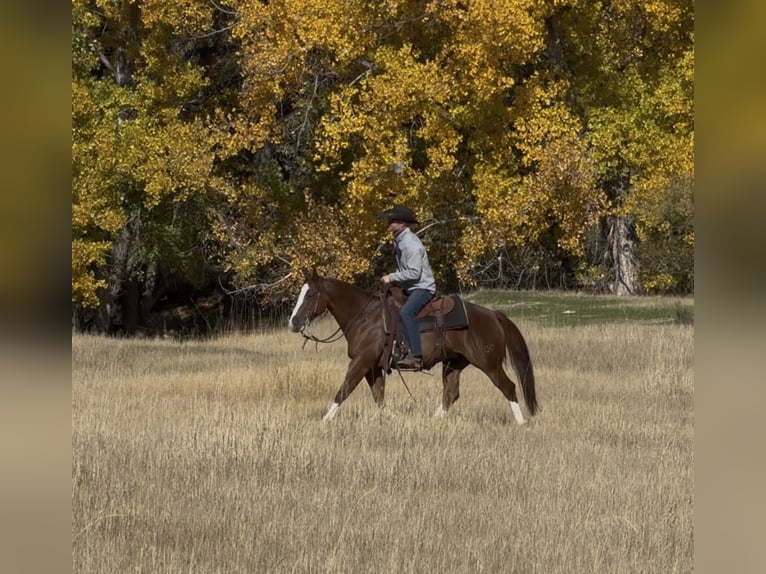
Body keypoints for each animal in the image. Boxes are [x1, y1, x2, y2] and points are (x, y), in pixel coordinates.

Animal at [288, 268, 538, 424]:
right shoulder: (373, 367)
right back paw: (433, 421)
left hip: (489, 364)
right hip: (454, 363)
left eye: (310, 294)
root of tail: (494, 315)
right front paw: (389, 419)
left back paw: (521, 423)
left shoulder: (361, 362)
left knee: (509, 387)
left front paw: (324, 420)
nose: (294, 322)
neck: (365, 317)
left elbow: (344, 390)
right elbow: (379, 397)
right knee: (451, 393)